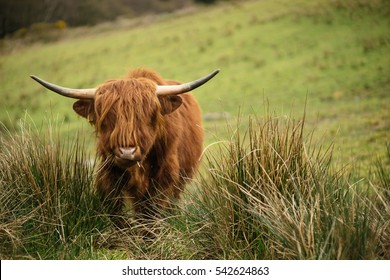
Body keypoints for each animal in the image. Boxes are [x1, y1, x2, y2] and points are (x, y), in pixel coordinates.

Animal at [30, 67, 219, 221]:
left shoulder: (164, 178)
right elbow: (116, 214)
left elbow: (151, 215)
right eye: (106, 118)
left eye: (149, 115)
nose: (127, 152)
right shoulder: (108, 174)